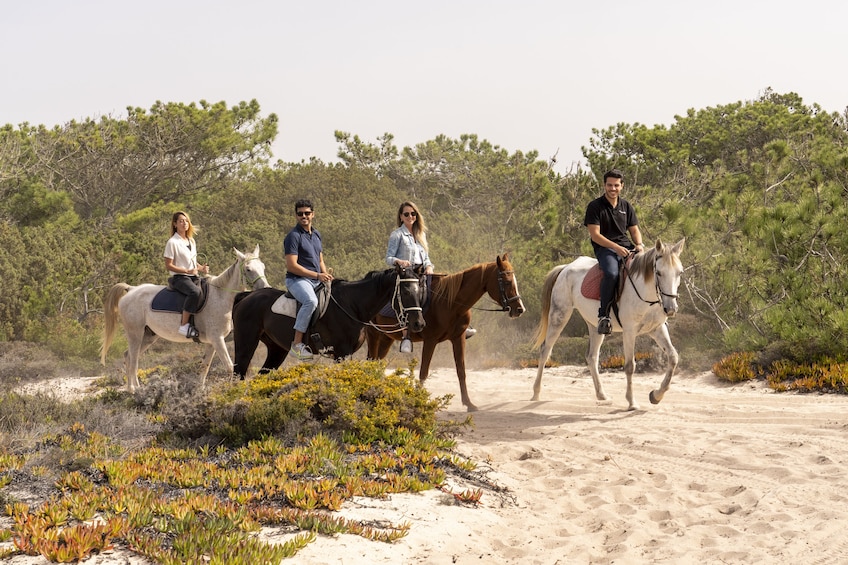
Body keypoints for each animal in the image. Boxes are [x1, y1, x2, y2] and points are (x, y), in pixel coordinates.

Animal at [101, 245, 270, 390]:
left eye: (263, 267)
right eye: (248, 269)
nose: (266, 289)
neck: (221, 296)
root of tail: (131, 289)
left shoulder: (212, 343)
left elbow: (205, 367)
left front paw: (200, 391)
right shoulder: (218, 339)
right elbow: (230, 367)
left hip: (148, 336)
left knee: (128, 356)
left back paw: (134, 389)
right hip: (135, 333)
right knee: (133, 360)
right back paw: (134, 390)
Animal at [230, 266, 424, 378]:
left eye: (420, 289)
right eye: (406, 291)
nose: (419, 324)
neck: (352, 305)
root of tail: (247, 296)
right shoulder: (342, 353)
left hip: (277, 349)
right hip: (246, 345)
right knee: (238, 375)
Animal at [364, 254, 524, 410]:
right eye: (507, 282)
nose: (519, 309)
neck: (449, 303)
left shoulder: (458, 338)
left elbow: (461, 371)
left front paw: (469, 403)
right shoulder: (430, 340)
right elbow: (423, 372)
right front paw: (418, 401)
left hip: (386, 338)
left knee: (378, 364)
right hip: (373, 334)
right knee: (371, 362)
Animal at [532, 238, 684, 410]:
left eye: (679, 273)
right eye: (658, 273)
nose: (670, 309)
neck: (646, 294)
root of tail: (565, 268)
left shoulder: (657, 329)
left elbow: (673, 357)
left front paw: (656, 395)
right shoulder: (629, 331)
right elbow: (630, 366)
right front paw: (632, 402)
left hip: (594, 326)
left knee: (592, 357)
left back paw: (602, 395)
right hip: (559, 316)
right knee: (545, 351)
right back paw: (536, 393)